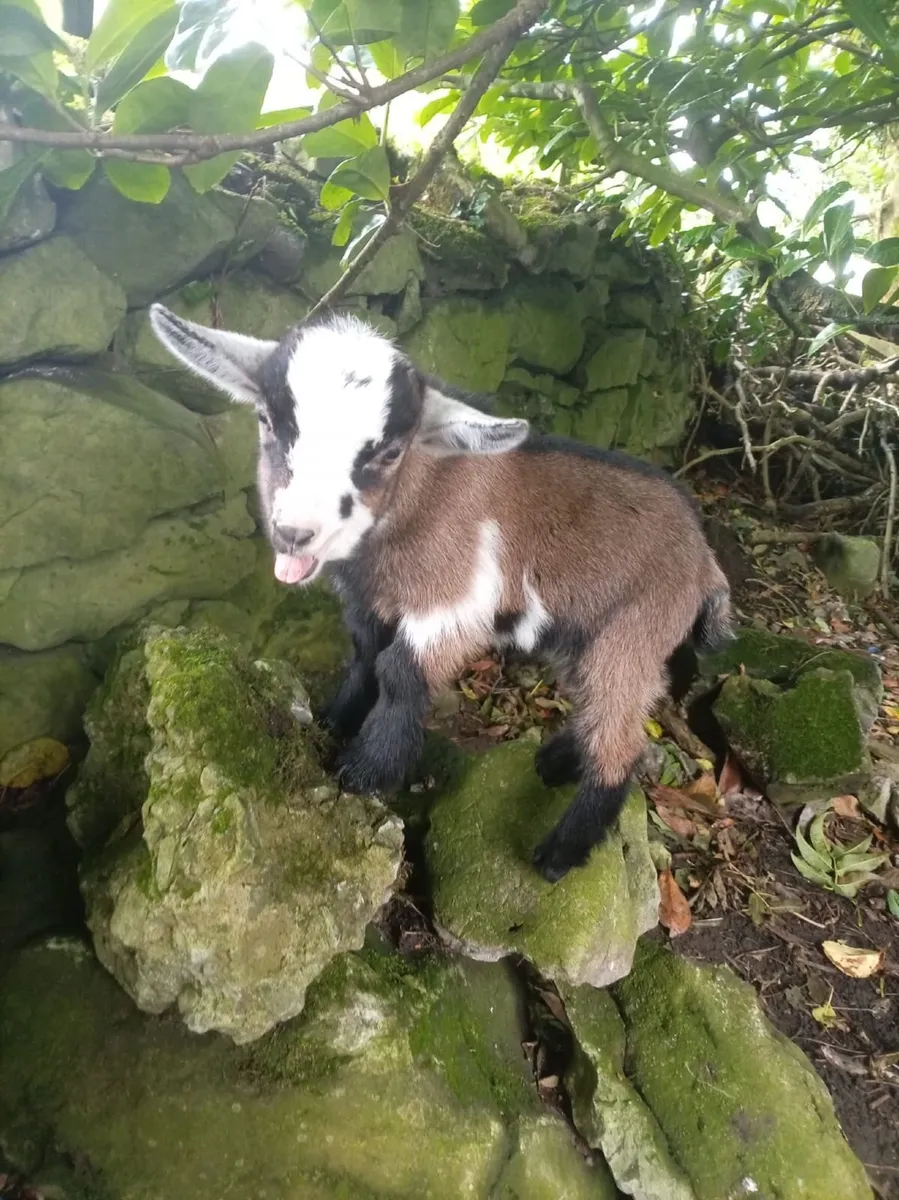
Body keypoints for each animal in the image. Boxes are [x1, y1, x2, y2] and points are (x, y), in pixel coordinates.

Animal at [150, 306, 732, 882]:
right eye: (269, 423)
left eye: (389, 451)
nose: (295, 533)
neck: (415, 501)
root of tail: (706, 560)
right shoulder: (369, 601)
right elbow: (364, 653)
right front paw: (333, 719)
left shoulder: (456, 601)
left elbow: (398, 671)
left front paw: (364, 771)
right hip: (594, 637)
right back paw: (557, 762)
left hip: (635, 630)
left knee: (622, 737)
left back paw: (559, 854)